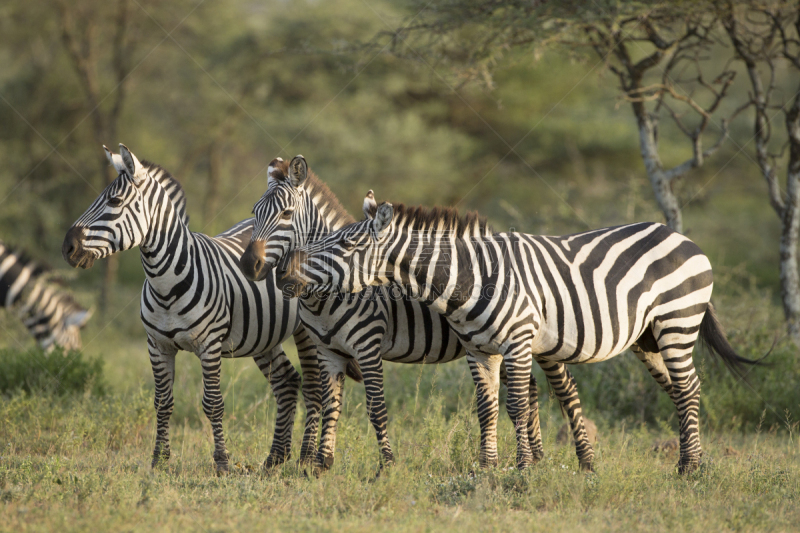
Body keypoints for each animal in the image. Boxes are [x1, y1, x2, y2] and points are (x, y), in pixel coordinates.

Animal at [61, 143, 360, 472]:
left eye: (114, 201)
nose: (67, 247)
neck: (166, 283)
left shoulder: (210, 344)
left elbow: (213, 404)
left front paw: (222, 463)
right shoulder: (157, 345)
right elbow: (162, 402)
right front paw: (159, 460)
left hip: (305, 332)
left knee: (313, 388)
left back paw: (305, 457)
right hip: (262, 336)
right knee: (286, 383)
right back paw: (275, 458)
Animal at [234, 155, 596, 470]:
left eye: (286, 214)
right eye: (254, 212)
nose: (249, 266)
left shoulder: (368, 345)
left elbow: (376, 407)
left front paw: (387, 466)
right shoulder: (327, 349)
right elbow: (330, 406)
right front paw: (320, 465)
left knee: (565, 389)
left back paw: (584, 460)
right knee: (531, 390)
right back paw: (538, 457)